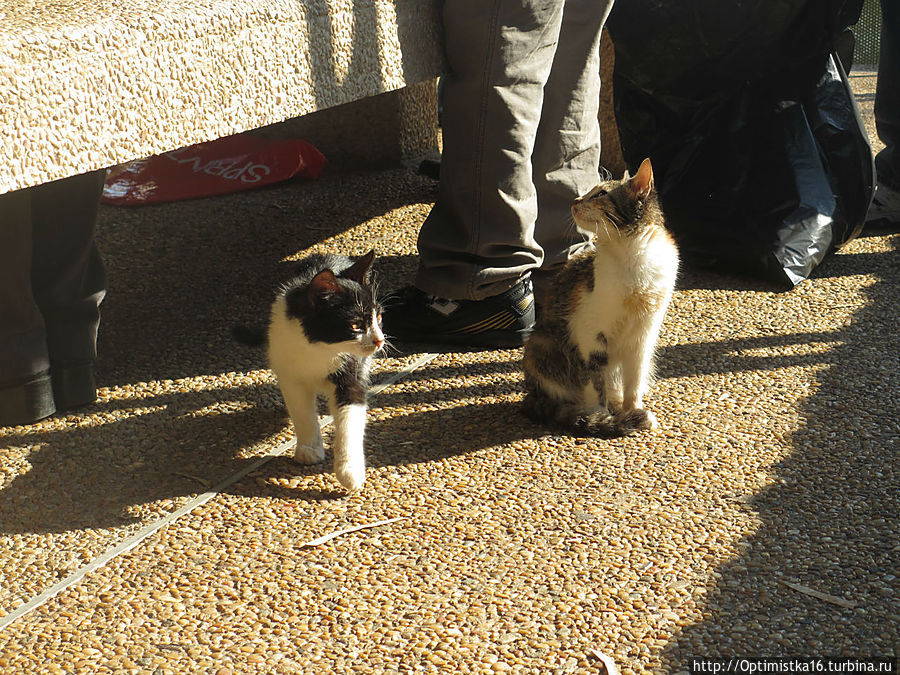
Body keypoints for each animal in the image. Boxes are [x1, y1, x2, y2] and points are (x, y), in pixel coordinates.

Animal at [234, 252, 384, 492]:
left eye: (378, 318)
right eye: (355, 325)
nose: (379, 340)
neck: (320, 348)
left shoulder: (351, 374)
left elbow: (350, 419)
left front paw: (349, 471)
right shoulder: (289, 372)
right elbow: (301, 412)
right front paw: (309, 448)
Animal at [524, 159, 680, 438]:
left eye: (601, 194)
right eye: (589, 191)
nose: (575, 200)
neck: (631, 254)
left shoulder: (644, 336)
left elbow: (634, 379)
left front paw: (632, 408)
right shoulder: (589, 334)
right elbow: (595, 381)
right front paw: (602, 417)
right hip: (542, 345)